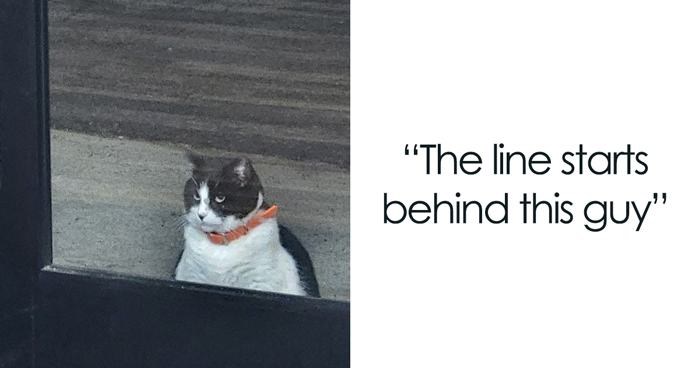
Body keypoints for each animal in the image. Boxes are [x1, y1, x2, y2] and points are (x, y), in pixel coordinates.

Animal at [175, 151, 320, 298]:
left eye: (220, 198)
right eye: (196, 196)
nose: (201, 214)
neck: (222, 244)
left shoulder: (259, 282)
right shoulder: (191, 277)